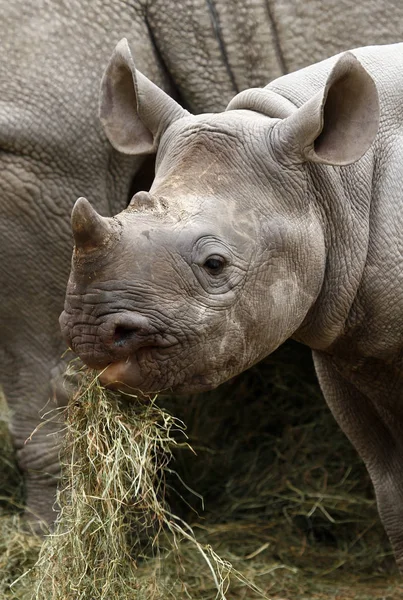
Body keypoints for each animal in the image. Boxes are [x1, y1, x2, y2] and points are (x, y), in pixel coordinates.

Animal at [0, 0, 403, 524]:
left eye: (215, 264)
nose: (90, 333)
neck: (330, 183)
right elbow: (389, 485)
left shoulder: (34, 149)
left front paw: (46, 525)